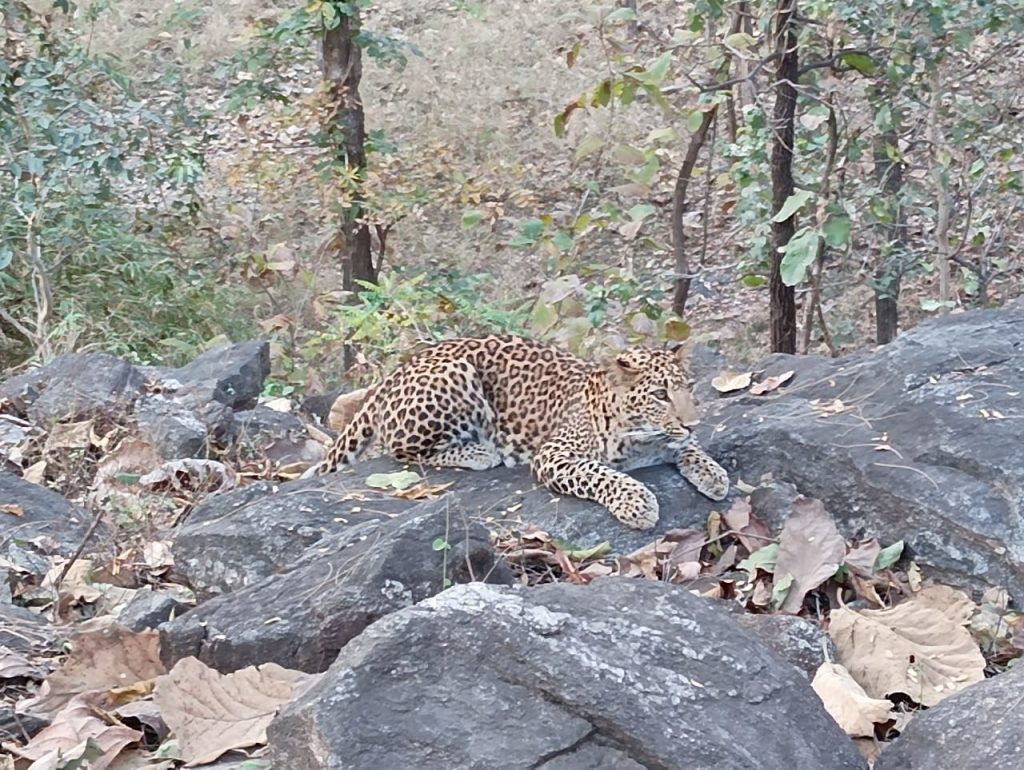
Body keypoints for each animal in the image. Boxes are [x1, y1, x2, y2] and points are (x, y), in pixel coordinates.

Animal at [307, 334, 730, 529]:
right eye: (660, 394)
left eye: (688, 387)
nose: (692, 421)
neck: (643, 438)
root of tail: (393, 375)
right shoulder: (554, 454)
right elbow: (601, 474)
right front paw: (638, 502)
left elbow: (689, 448)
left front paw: (714, 474)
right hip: (456, 377)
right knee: (400, 449)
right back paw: (479, 451)